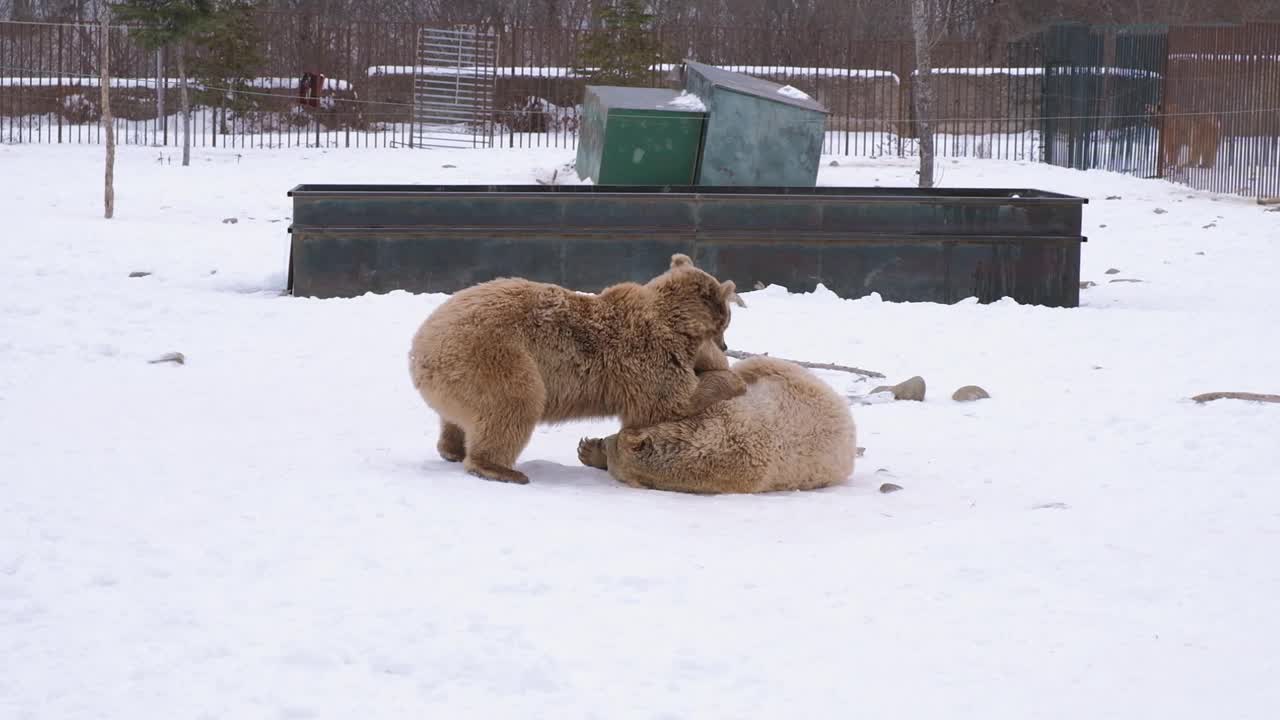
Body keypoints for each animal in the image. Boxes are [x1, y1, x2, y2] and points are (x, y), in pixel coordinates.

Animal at [409, 252, 747, 481]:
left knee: (460, 416)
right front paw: (733, 381)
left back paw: (452, 448)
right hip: (493, 354)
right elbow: (671, 402)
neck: (675, 323)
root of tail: (420, 347)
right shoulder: (647, 355)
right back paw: (499, 468)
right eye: (727, 320)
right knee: (515, 402)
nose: (726, 346)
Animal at [581, 353, 860, 491]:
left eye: (611, 443)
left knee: (755, 365)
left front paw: (592, 448)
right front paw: (589, 449)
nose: (603, 442)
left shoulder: (719, 413)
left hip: (788, 376)